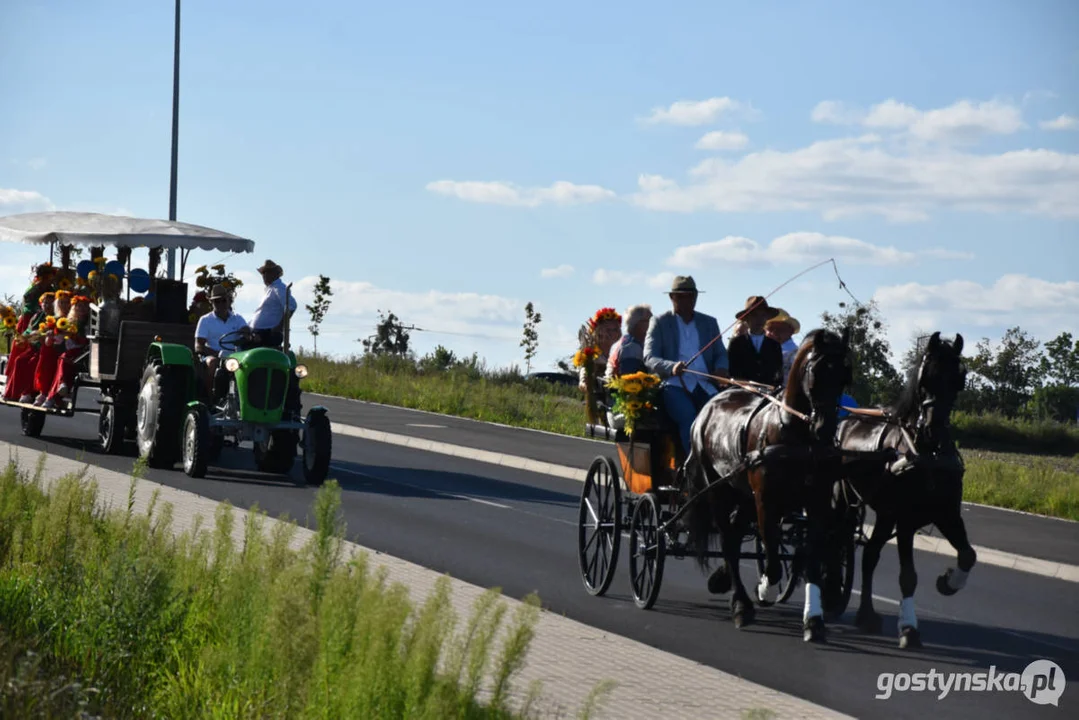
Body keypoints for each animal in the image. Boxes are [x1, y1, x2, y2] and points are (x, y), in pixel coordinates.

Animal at [681, 325, 850, 643]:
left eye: (846, 373)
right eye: (816, 371)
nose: (825, 428)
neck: (797, 437)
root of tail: (707, 407)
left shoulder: (818, 503)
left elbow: (812, 558)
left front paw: (814, 620)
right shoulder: (766, 501)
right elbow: (771, 562)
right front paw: (762, 587)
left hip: (743, 495)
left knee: (735, 535)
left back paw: (724, 581)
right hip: (719, 489)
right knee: (728, 541)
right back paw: (740, 605)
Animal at [828, 330, 975, 647]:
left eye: (959, 379)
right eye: (926, 377)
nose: (933, 430)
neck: (927, 454)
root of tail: (844, 420)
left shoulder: (947, 513)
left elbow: (968, 555)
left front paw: (948, 582)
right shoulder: (906, 520)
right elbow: (908, 576)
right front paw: (908, 628)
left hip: (884, 515)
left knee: (870, 556)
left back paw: (866, 615)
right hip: (845, 501)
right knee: (834, 539)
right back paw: (833, 592)